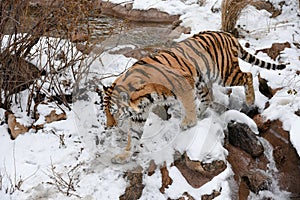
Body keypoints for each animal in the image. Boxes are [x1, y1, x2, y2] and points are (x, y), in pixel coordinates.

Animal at [103, 30, 286, 163]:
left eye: (114, 111)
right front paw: (124, 156)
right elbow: (133, 136)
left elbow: (188, 104)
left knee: (247, 75)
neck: (143, 99)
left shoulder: (183, 83)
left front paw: (188, 123)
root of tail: (227, 34)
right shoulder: (139, 114)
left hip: (224, 74)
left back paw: (249, 100)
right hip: (203, 81)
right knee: (208, 98)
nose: (109, 126)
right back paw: (201, 112)